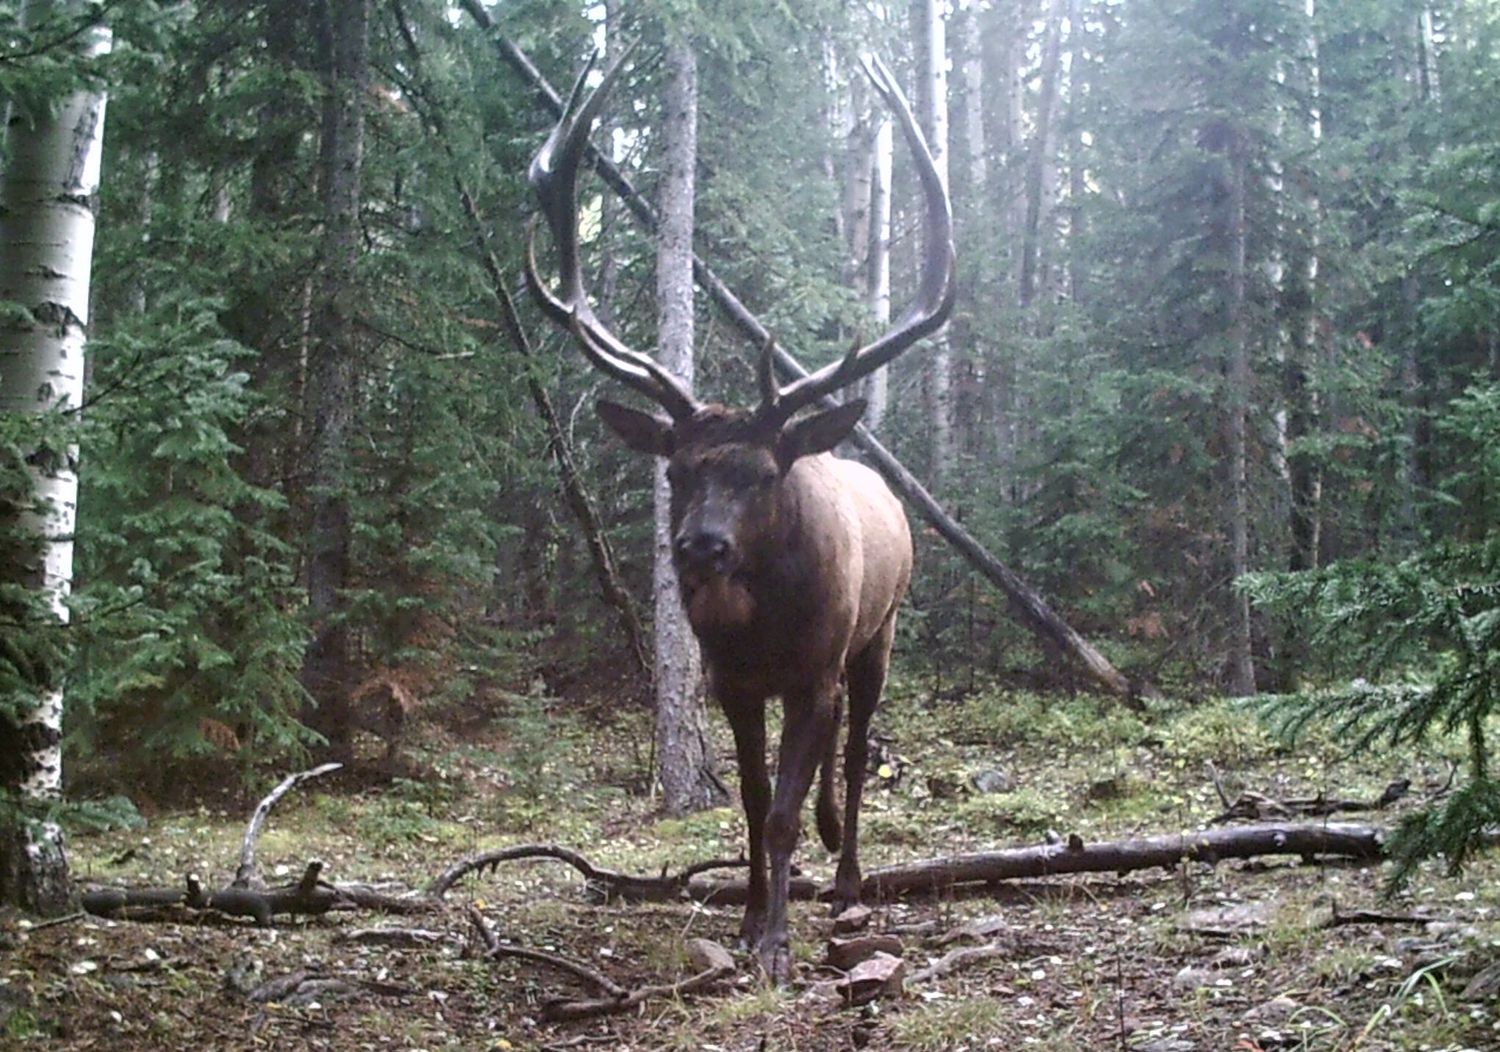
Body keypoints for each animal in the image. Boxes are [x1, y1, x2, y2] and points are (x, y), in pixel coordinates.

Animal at [524, 50, 955, 982]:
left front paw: (776, 943)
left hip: (880, 632)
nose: (701, 547)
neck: (763, 625)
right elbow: (757, 804)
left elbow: (788, 806)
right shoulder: (733, 681)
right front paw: (754, 912)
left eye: (762, 473)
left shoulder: (814, 667)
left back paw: (847, 877)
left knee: (858, 749)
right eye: (677, 468)